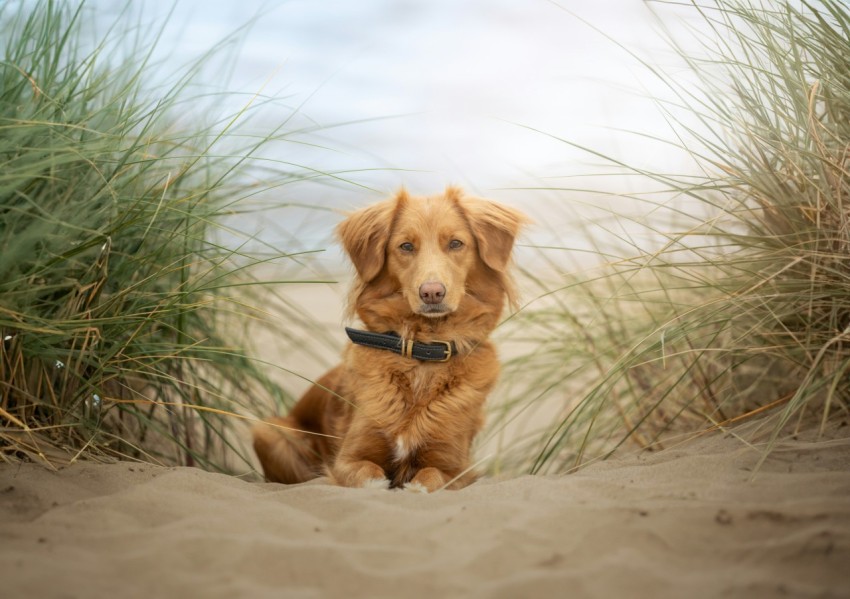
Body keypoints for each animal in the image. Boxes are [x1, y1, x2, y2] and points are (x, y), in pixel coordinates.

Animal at [252, 188, 528, 492]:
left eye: (456, 243)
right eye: (406, 246)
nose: (432, 292)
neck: (423, 350)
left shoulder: (455, 468)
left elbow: (429, 477)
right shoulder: (348, 458)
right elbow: (370, 474)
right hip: (269, 431)